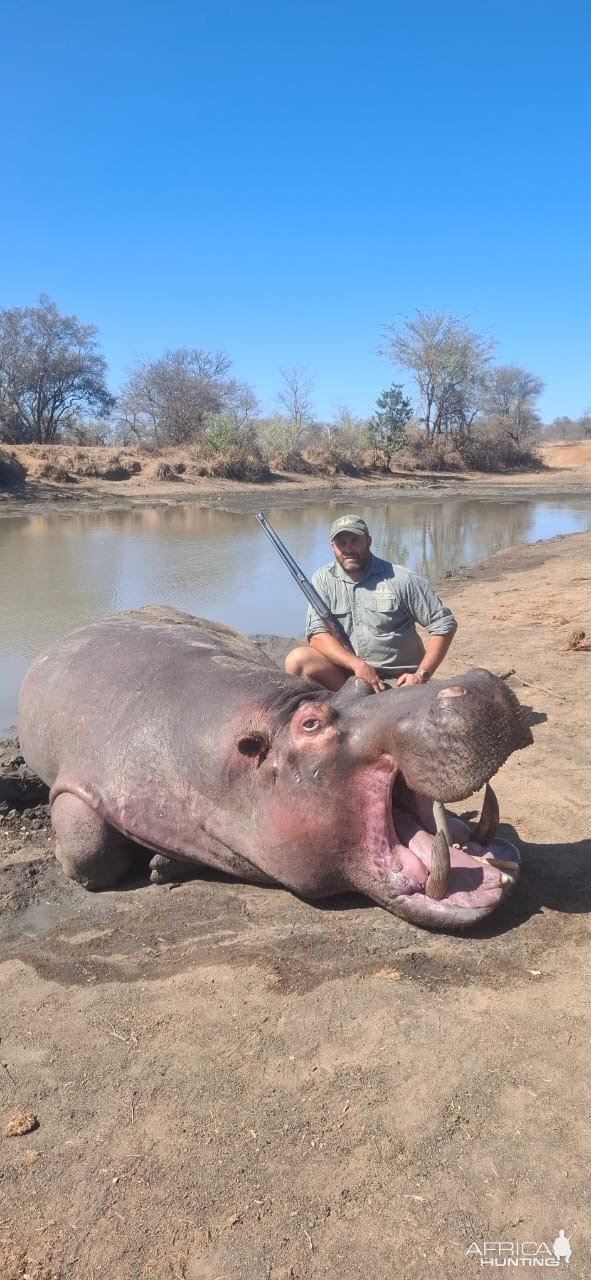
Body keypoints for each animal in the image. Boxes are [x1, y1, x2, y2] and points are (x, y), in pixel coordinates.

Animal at [19, 609, 534, 931]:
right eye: (311, 724)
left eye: (362, 688)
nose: (477, 682)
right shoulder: (84, 782)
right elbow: (90, 854)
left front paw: (163, 865)